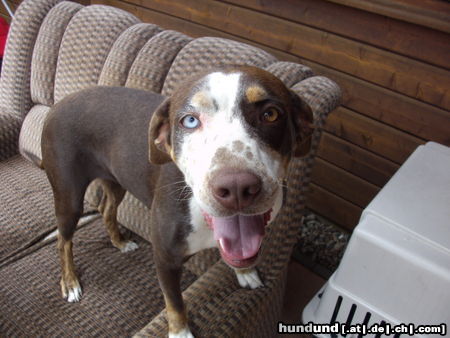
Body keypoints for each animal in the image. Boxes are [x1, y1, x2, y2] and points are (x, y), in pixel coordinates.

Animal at [38, 64, 312, 336]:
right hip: (69, 196)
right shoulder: (165, 259)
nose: (236, 187)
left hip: (115, 180)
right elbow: (175, 302)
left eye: (270, 114)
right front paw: (180, 331)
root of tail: (59, 104)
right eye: (189, 120)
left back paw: (120, 242)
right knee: (63, 240)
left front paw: (244, 272)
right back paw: (70, 281)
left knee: (107, 210)